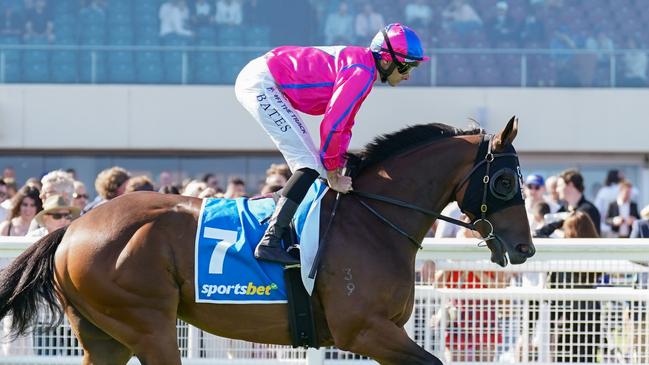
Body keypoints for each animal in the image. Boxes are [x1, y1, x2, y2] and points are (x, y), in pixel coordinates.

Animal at [1, 117, 532, 364]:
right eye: (506, 181)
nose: (525, 248)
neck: (373, 219)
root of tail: (74, 227)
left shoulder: (377, 335)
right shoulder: (365, 330)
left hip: (103, 334)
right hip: (146, 325)